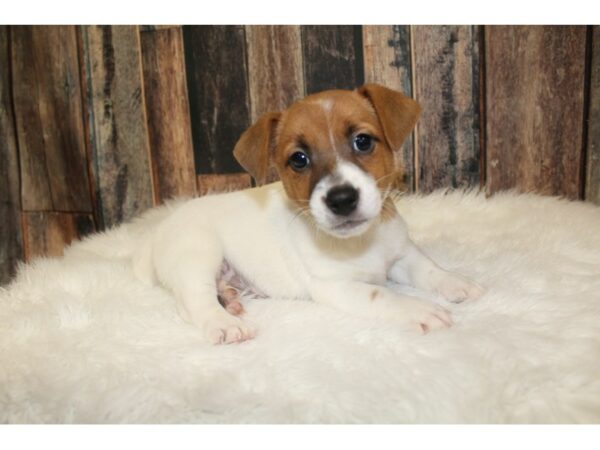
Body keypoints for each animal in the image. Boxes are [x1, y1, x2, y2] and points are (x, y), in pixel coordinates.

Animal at [131, 84, 482, 344]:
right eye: (299, 159)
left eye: (363, 141)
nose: (341, 199)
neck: (361, 242)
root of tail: (159, 230)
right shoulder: (335, 286)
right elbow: (381, 295)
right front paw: (420, 310)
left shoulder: (402, 255)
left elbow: (430, 269)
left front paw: (458, 284)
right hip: (197, 254)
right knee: (193, 301)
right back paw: (225, 323)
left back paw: (230, 298)